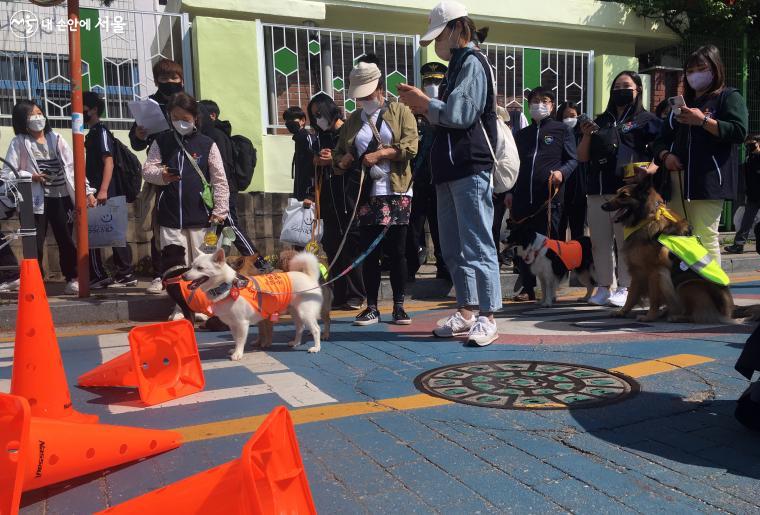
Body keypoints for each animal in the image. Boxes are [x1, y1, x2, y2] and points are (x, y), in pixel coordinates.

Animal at [187, 250, 326, 358]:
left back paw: (316, 347)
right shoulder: (233, 324)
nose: (183, 275)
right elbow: (236, 339)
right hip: (295, 313)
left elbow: (241, 340)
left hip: (305, 313)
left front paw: (238, 354)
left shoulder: (242, 323)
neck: (228, 286)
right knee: (300, 328)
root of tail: (309, 277)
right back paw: (296, 342)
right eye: (192, 266)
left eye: (200, 268)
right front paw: (235, 350)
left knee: (316, 329)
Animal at [604, 181, 732, 324]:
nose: (603, 206)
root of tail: (724, 313)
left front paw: (650, 316)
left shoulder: (655, 271)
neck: (647, 218)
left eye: (624, 196)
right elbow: (631, 295)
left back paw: (677, 317)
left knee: (696, 315)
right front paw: (622, 312)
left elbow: (653, 298)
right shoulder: (638, 271)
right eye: (617, 193)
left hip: (687, 286)